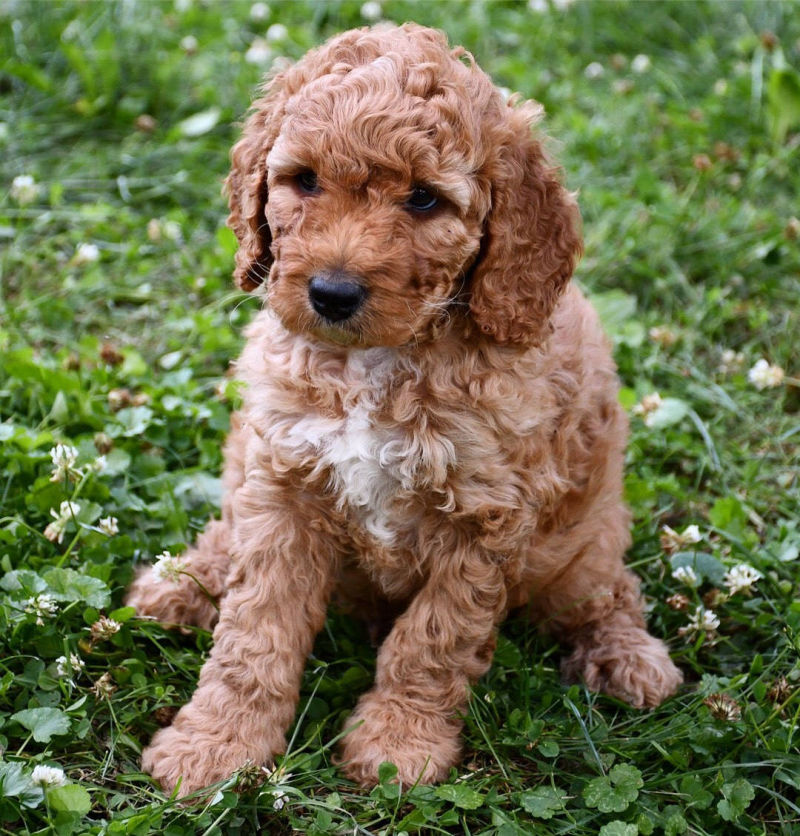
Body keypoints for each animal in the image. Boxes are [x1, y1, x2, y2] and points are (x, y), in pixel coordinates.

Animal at [126, 22, 680, 796]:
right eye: (304, 180)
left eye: (423, 200)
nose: (331, 293)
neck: (375, 365)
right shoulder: (285, 481)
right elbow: (253, 631)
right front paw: (216, 744)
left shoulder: (486, 520)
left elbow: (433, 641)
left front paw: (397, 744)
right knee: (229, 520)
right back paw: (180, 584)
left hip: (586, 536)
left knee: (606, 592)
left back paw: (628, 658)